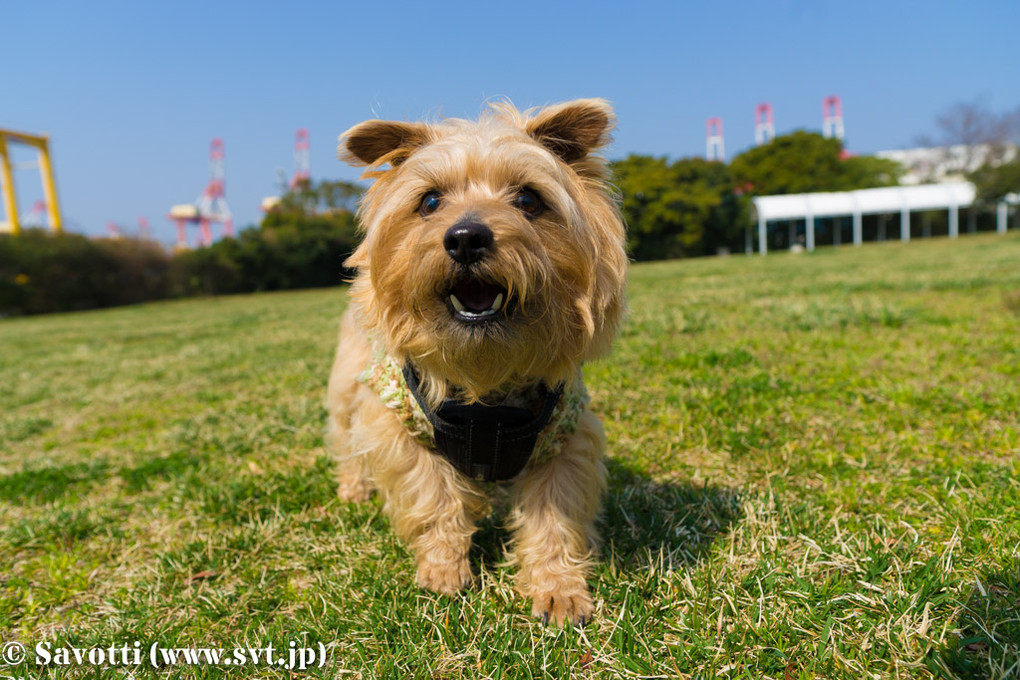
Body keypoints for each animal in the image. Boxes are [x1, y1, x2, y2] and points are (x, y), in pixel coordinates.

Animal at [326, 98, 628, 623]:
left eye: (528, 200)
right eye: (429, 202)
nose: (465, 237)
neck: (485, 372)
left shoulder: (565, 437)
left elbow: (554, 516)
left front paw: (559, 588)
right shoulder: (404, 428)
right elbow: (435, 500)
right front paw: (443, 570)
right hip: (351, 382)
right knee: (346, 434)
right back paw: (354, 486)